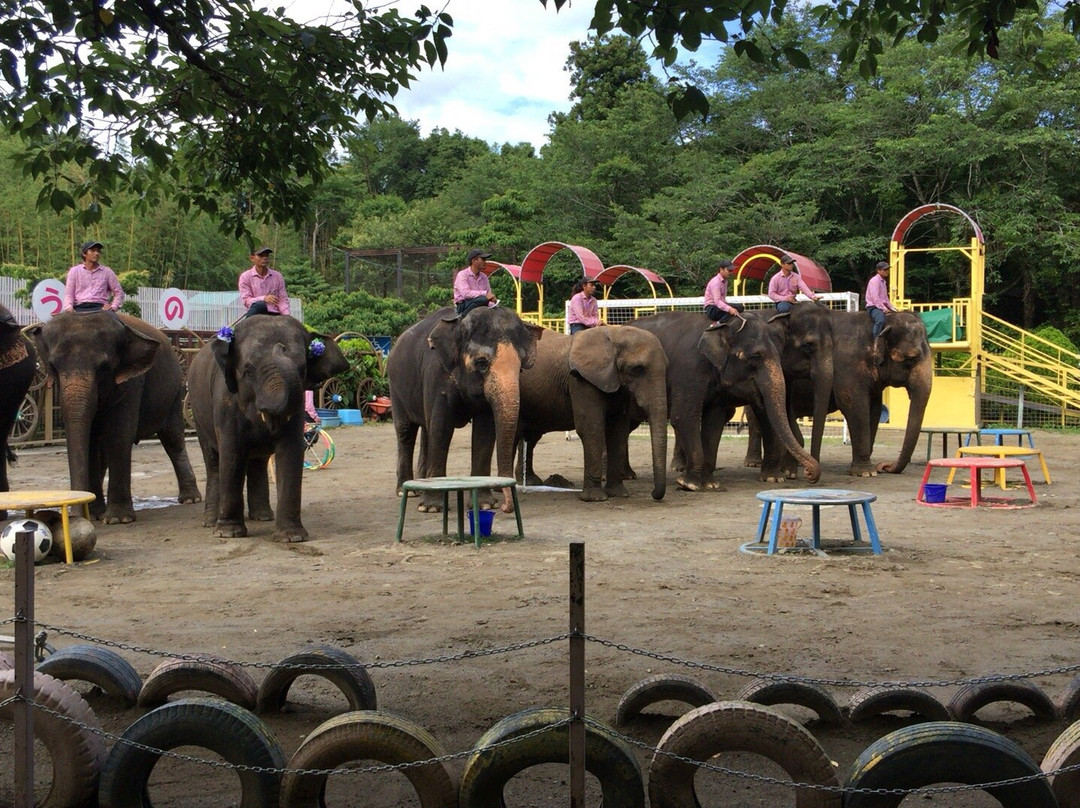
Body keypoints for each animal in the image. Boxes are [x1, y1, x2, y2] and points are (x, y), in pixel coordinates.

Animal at [27, 311, 201, 523]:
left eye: (104, 367)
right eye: (52, 366)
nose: (75, 516)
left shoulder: (132, 382)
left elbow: (119, 434)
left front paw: (118, 519)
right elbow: (90, 440)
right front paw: (94, 514)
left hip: (174, 392)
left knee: (173, 440)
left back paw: (190, 499)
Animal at [187, 315, 348, 542]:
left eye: (302, 369)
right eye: (248, 370)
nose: (280, 348)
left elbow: (290, 452)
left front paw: (292, 537)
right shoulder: (225, 402)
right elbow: (232, 454)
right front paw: (228, 533)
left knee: (258, 462)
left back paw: (263, 517)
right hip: (198, 413)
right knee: (213, 461)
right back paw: (210, 522)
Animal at [387, 306, 541, 513]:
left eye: (520, 369)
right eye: (481, 363)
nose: (505, 507)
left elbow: (485, 431)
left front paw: (484, 504)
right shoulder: (436, 373)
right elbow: (441, 427)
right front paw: (432, 508)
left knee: (426, 430)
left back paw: (423, 483)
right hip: (395, 388)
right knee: (405, 431)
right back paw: (408, 491)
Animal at [516, 325, 668, 502]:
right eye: (636, 369)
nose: (653, 494)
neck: (614, 335)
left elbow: (618, 431)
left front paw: (619, 494)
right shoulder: (582, 381)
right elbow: (592, 428)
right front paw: (595, 499)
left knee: (531, 436)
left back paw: (531, 482)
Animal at [630, 311, 821, 490]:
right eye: (755, 357)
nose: (810, 475)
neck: (717, 327)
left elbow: (715, 421)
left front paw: (710, 484)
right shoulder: (688, 371)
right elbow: (684, 416)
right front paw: (689, 484)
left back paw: (628, 475)